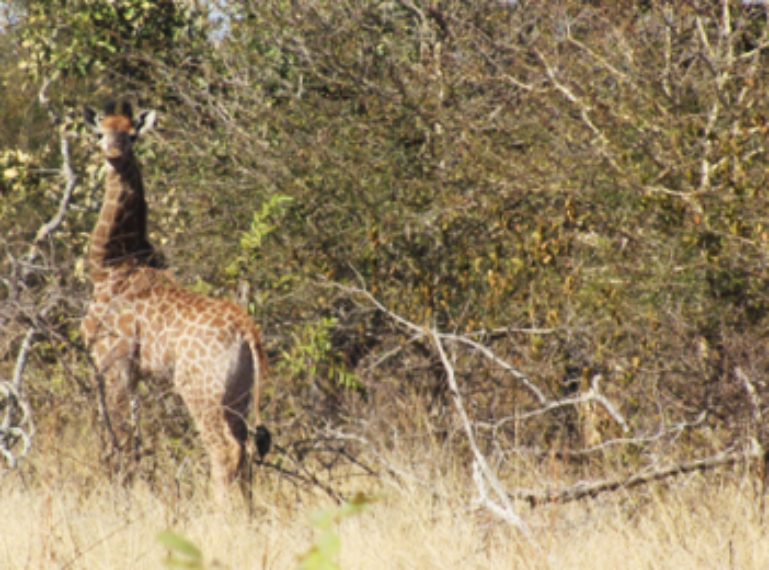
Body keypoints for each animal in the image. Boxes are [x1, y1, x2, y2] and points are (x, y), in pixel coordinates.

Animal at [80, 102, 270, 496]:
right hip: (238, 394)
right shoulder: (133, 373)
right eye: (100, 132)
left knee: (225, 451)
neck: (110, 265)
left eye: (132, 135)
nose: (114, 154)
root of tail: (248, 331)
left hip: (199, 389)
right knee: (246, 452)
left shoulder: (112, 362)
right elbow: (133, 440)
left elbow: (117, 438)